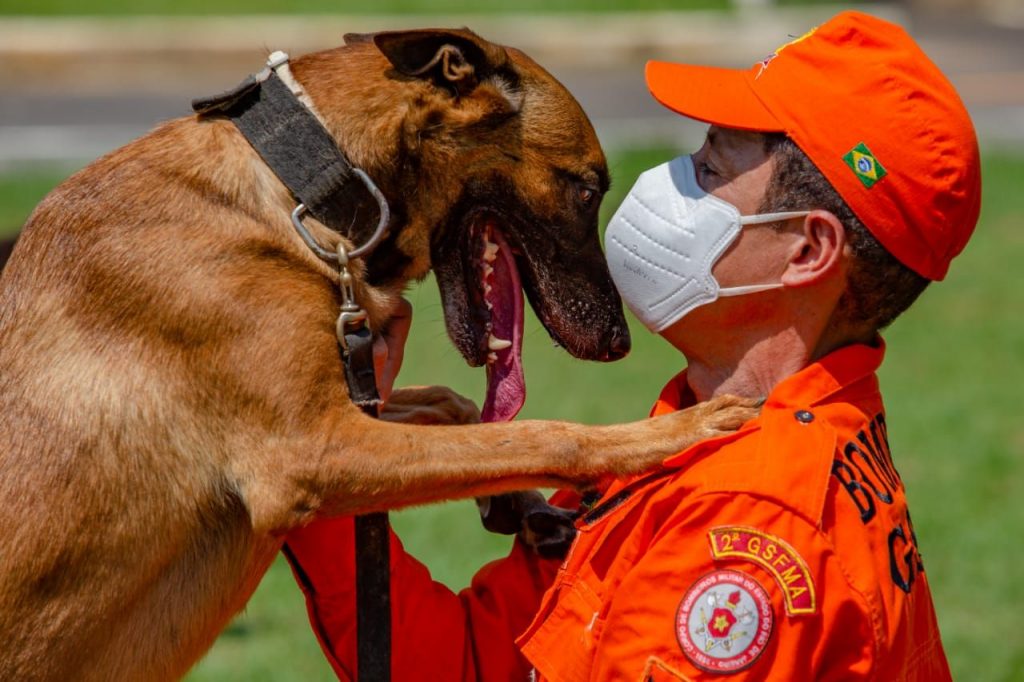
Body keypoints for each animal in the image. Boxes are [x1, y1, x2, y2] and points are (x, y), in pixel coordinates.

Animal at [0, 29, 753, 675]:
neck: (299, 186)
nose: (619, 343)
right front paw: (674, 431)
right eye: (588, 187)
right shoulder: (311, 450)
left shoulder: (352, 406)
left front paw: (523, 503)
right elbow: (545, 433)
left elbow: (458, 407)